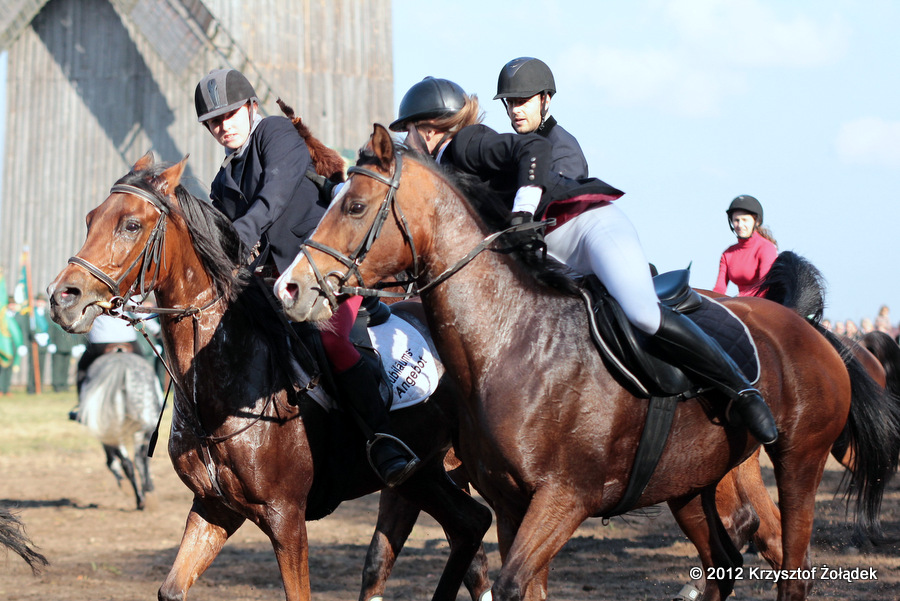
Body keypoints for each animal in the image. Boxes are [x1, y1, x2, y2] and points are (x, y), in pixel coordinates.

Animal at [274, 124, 897, 601]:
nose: (289, 288)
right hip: (692, 483)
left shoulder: (564, 498)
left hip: (797, 462)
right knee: (723, 561)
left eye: (355, 206)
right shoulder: (510, 504)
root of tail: (808, 326)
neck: (508, 342)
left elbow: (511, 584)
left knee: (791, 570)